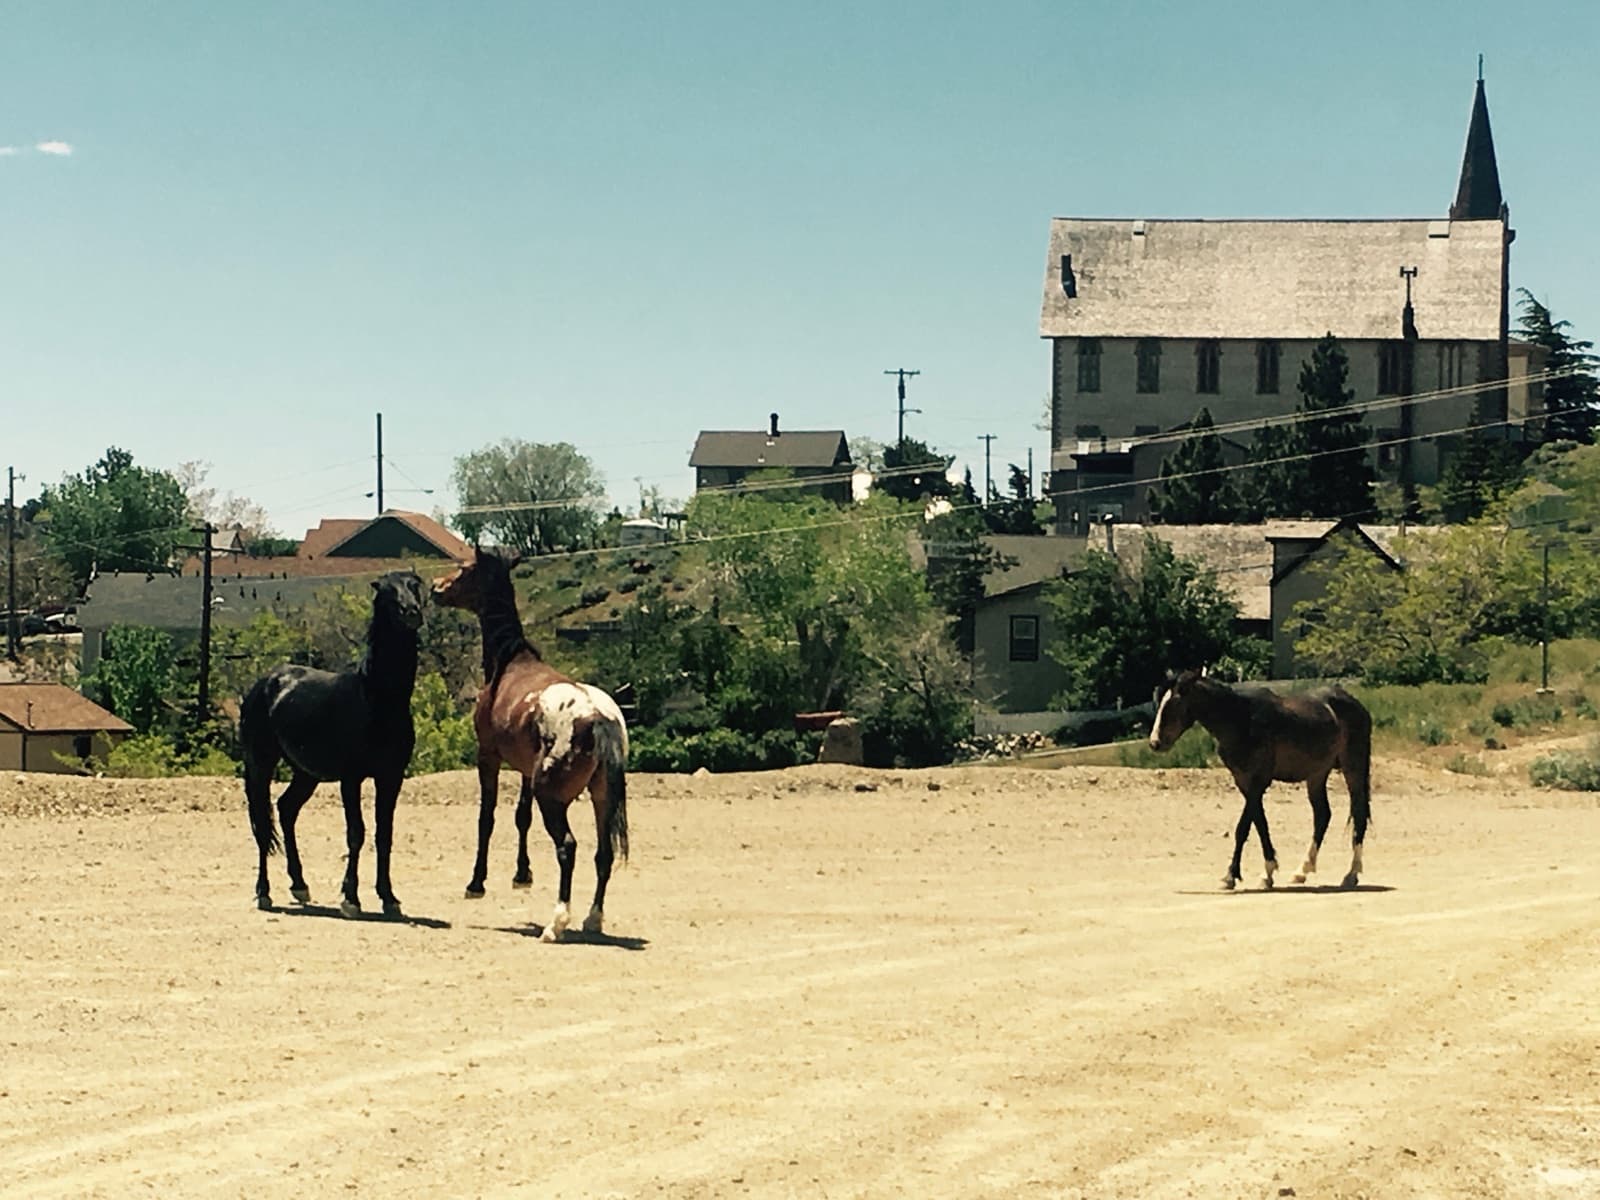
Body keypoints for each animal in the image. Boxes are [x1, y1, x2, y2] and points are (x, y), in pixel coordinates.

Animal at [241, 570, 426, 917]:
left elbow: (384, 834)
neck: (377, 700)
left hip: (306, 773)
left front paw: (389, 898)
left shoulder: (391, 777)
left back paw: (299, 885)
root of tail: (266, 682)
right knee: (262, 823)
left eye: (415, 586)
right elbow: (356, 833)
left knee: (286, 809)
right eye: (386, 592)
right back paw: (264, 893)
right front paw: (351, 898)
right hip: (260, 764)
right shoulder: (351, 778)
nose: (412, 613)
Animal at [431, 549, 629, 943]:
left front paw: (476, 883)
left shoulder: (488, 757)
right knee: (603, 854)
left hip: (551, 797)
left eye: (465, 569)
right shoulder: (524, 768)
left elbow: (487, 817)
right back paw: (592, 919)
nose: (436, 587)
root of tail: (600, 720)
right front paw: (522, 875)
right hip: (601, 798)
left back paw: (557, 923)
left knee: (568, 847)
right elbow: (521, 817)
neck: (510, 664)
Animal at [1149, 669, 1373, 891]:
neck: (1241, 720)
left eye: (1173, 705)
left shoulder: (1259, 781)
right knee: (1322, 816)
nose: (1155, 743)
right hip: (1317, 774)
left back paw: (1351, 875)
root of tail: (1356, 705)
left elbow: (1245, 826)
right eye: (1159, 703)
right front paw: (1251, 875)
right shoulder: (1243, 781)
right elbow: (1257, 824)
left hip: (1353, 767)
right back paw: (1301, 871)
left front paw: (1246, 875)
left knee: (1358, 814)